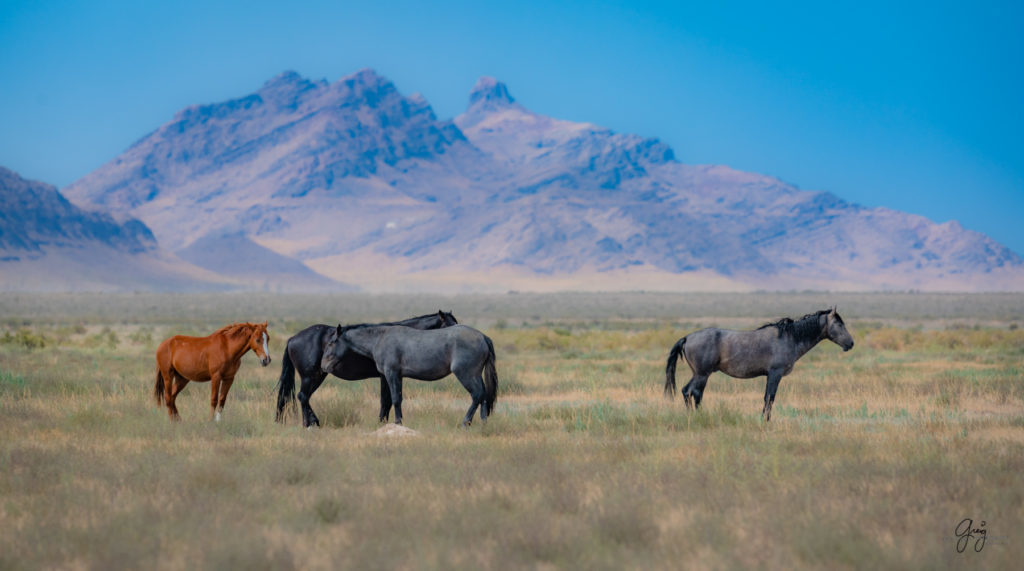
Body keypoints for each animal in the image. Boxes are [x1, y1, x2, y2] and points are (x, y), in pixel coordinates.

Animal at [278, 313, 458, 429]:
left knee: (305, 397)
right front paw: (385, 422)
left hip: (317, 376)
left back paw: (313, 422)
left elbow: (386, 401)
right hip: (310, 377)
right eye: (450, 325)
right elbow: (386, 401)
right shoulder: (386, 376)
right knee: (302, 396)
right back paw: (309, 424)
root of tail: (292, 339)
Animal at [319, 325, 495, 427]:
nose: (323, 365)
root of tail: (482, 336)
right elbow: (398, 398)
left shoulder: (391, 373)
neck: (379, 339)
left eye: (331, 343)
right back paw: (483, 423)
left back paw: (466, 422)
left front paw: (398, 423)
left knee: (477, 395)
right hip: (475, 375)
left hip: (466, 374)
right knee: (484, 395)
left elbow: (395, 399)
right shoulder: (398, 376)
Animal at [663, 309, 856, 421]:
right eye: (839, 323)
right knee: (691, 392)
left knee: (691, 392)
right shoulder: (775, 374)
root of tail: (687, 337)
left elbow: (768, 397)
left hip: (700, 374)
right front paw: (765, 420)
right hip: (702, 374)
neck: (789, 338)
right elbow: (769, 397)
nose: (851, 343)